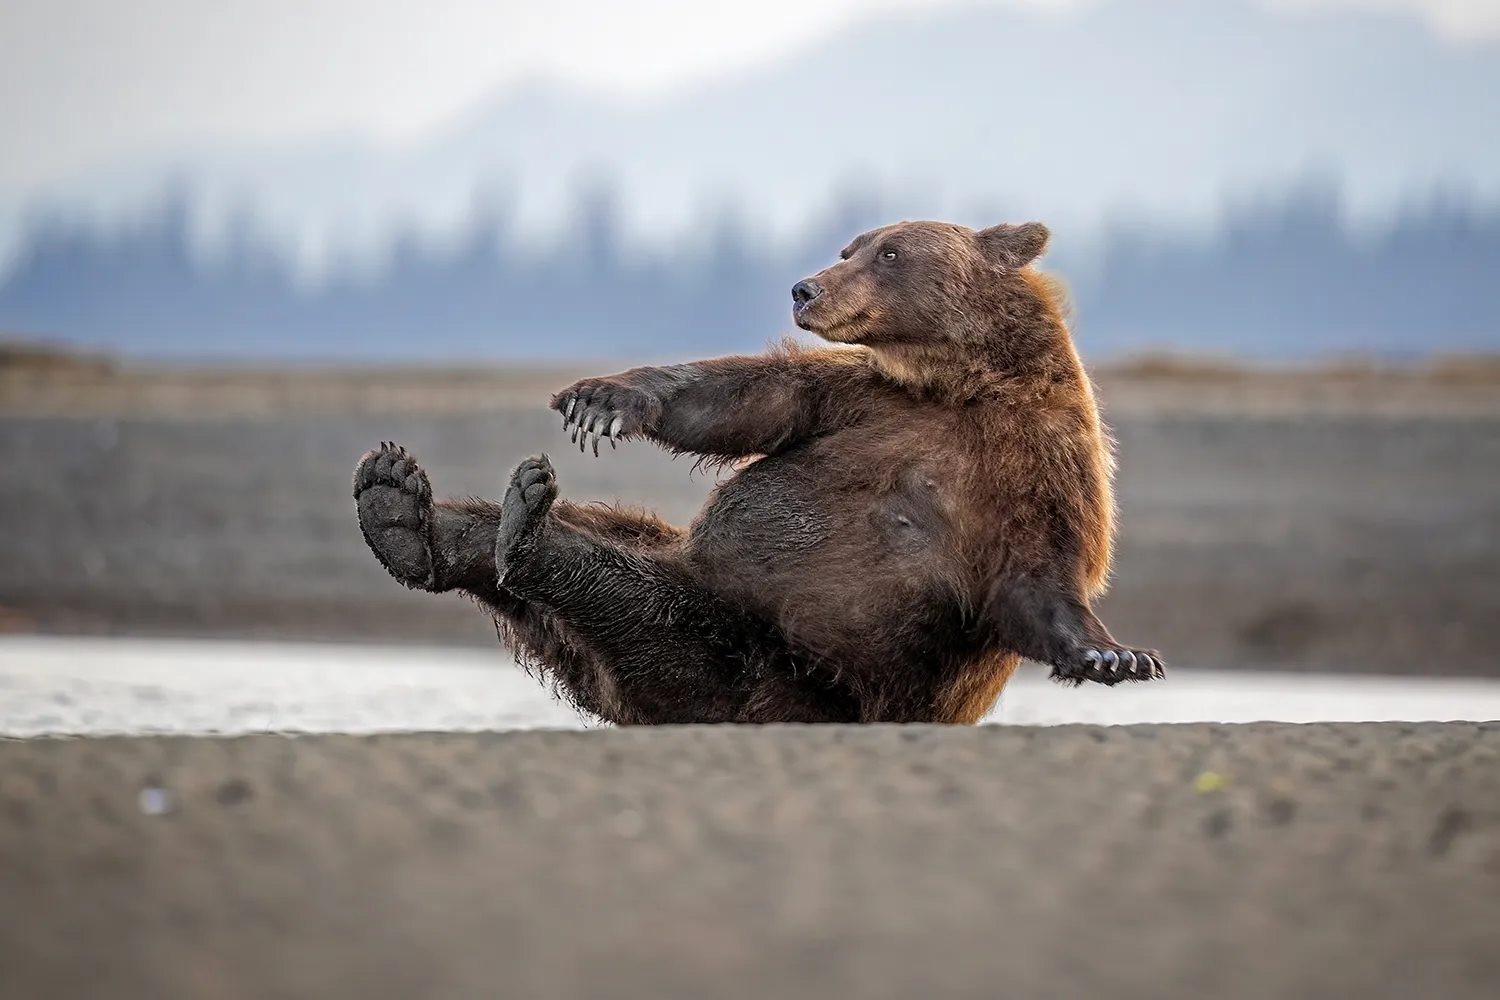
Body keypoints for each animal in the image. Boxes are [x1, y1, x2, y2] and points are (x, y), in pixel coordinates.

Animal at [353, 218, 1164, 725]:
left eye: (890, 252)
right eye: (849, 245)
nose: (806, 287)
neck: (956, 383)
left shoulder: (1039, 461)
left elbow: (1039, 577)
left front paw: (1114, 654)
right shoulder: (862, 400)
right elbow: (745, 399)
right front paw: (602, 399)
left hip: (758, 662)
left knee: (624, 596)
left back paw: (510, 531)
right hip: (704, 590)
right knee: (604, 539)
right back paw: (404, 507)